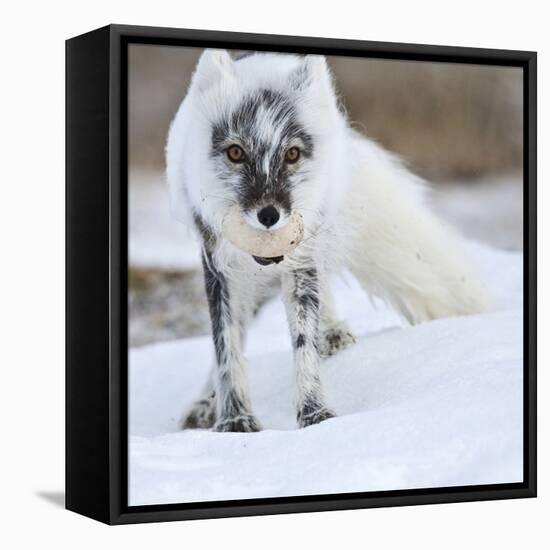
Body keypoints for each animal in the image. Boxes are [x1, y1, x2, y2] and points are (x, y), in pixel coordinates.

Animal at [165, 49, 492, 434]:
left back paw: (332, 332)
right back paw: (205, 403)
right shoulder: (220, 268)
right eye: (235, 153)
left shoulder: (301, 260)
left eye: (292, 154)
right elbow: (227, 347)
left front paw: (314, 413)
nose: (269, 215)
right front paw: (234, 420)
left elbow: (303, 342)